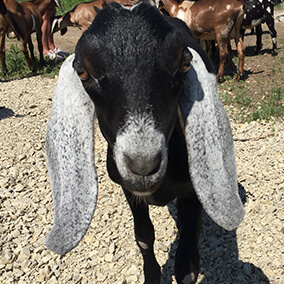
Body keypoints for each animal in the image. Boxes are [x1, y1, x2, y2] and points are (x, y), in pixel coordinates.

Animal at [45, 2, 245, 284]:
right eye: (83, 71)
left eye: (184, 64)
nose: (143, 166)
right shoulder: (129, 190)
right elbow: (144, 237)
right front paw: (151, 275)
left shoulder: (192, 190)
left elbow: (187, 264)